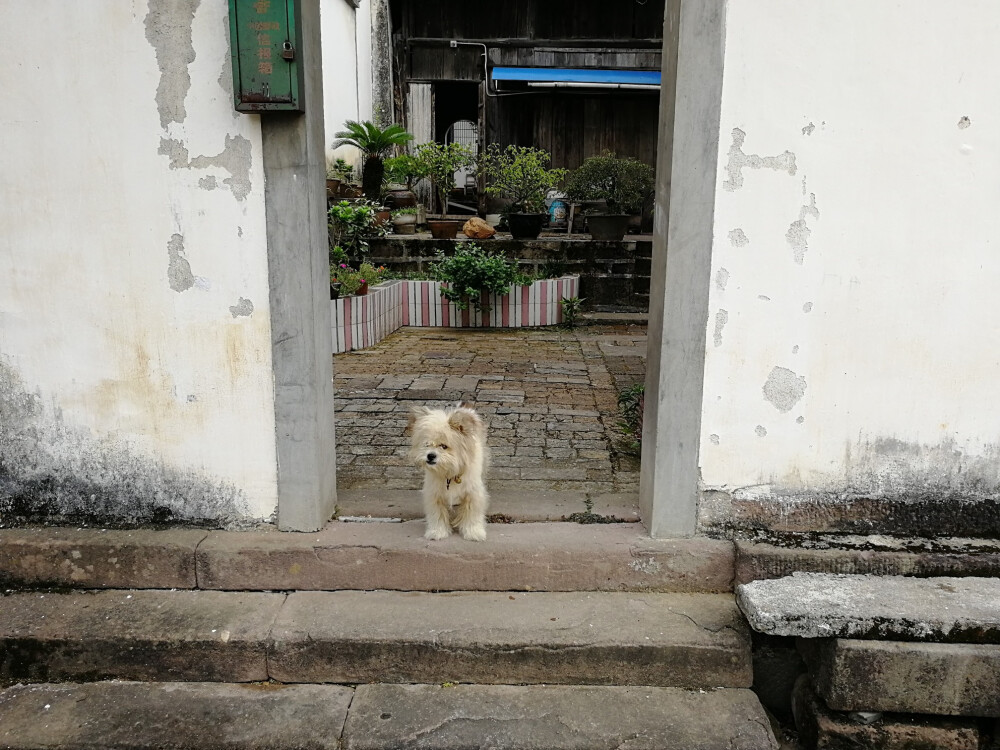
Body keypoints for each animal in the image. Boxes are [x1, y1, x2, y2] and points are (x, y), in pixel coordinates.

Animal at [408, 406, 490, 540]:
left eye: (444, 446)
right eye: (427, 444)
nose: (430, 456)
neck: (450, 473)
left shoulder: (473, 494)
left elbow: (472, 514)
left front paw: (473, 532)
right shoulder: (435, 495)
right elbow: (437, 514)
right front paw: (437, 531)